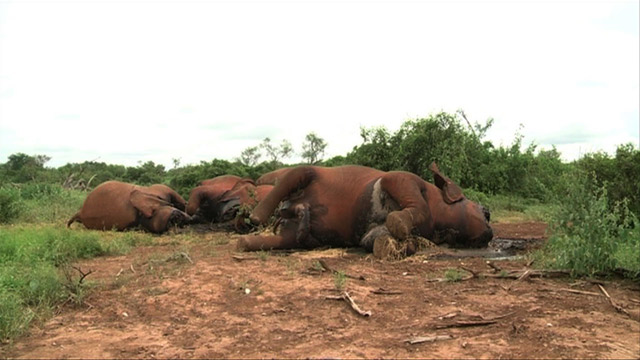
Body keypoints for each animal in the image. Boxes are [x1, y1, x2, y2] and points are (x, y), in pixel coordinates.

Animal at [238, 163, 492, 256]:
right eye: (486, 213)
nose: (489, 232)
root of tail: (287, 211)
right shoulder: (401, 179)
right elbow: (415, 203)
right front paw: (398, 223)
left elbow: (370, 239)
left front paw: (390, 245)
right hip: (307, 172)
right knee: (290, 179)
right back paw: (256, 217)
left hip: (294, 237)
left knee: (283, 239)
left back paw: (301, 220)